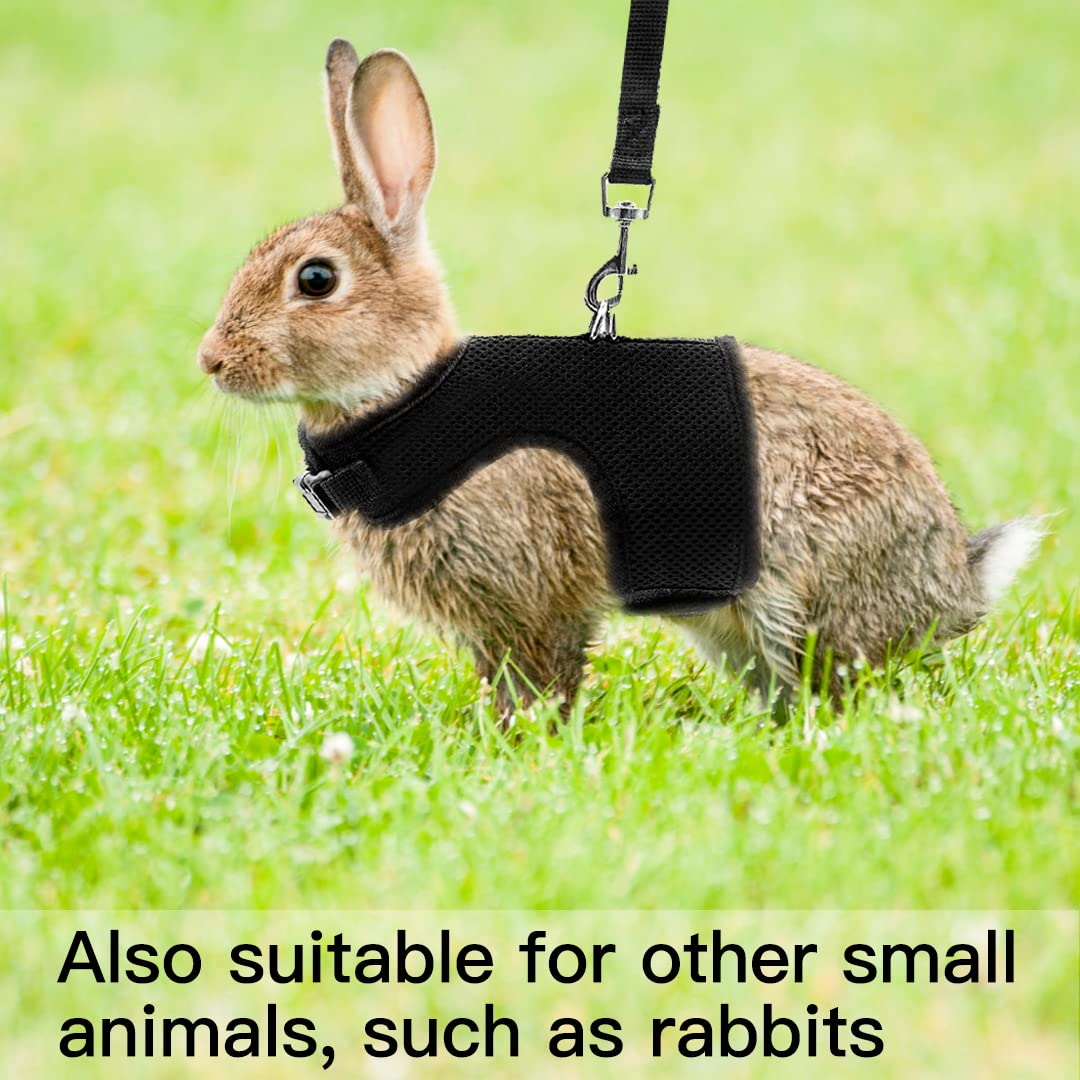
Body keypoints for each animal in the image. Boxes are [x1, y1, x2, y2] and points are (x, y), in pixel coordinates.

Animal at [198, 41, 1043, 715]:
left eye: (315, 280)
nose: (210, 360)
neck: (411, 400)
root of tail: (956, 583)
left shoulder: (537, 594)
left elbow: (543, 673)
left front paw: (524, 740)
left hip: (792, 594)